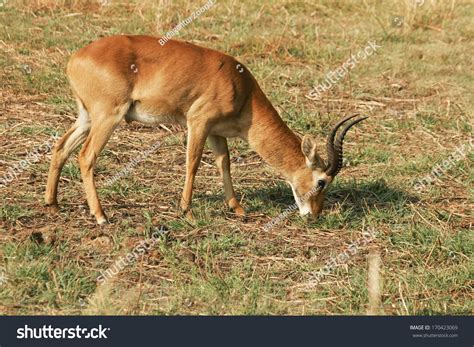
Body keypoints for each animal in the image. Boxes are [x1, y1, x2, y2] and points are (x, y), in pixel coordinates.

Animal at [45, 35, 366, 226]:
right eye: (322, 181)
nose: (315, 214)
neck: (241, 89)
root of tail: (75, 59)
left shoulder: (217, 132)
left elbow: (225, 165)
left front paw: (238, 209)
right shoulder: (197, 122)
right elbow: (193, 164)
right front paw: (186, 210)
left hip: (87, 118)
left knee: (61, 148)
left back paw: (53, 204)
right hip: (107, 117)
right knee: (86, 157)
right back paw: (101, 216)